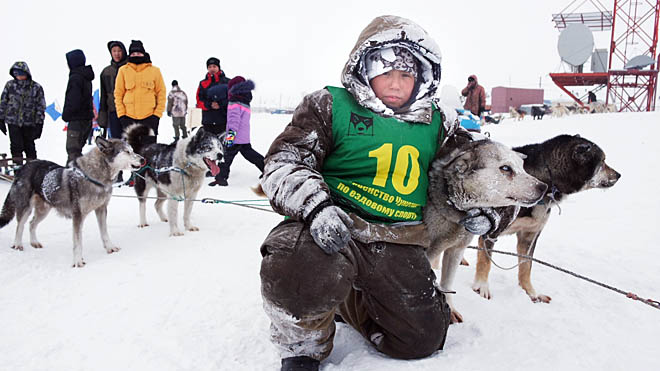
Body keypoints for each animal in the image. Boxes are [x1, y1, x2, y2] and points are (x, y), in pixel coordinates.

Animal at [0, 137, 144, 268]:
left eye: (132, 150)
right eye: (127, 151)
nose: (143, 159)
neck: (93, 178)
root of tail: (23, 166)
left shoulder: (101, 209)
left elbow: (104, 232)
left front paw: (110, 247)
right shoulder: (77, 215)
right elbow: (78, 242)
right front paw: (78, 261)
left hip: (43, 211)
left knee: (31, 224)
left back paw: (34, 242)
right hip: (26, 208)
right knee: (20, 225)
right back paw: (17, 244)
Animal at [472, 135, 620, 304]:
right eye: (602, 162)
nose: (618, 175)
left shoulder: (529, 237)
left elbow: (526, 267)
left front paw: (531, 293)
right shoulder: (491, 233)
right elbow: (485, 262)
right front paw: (481, 287)